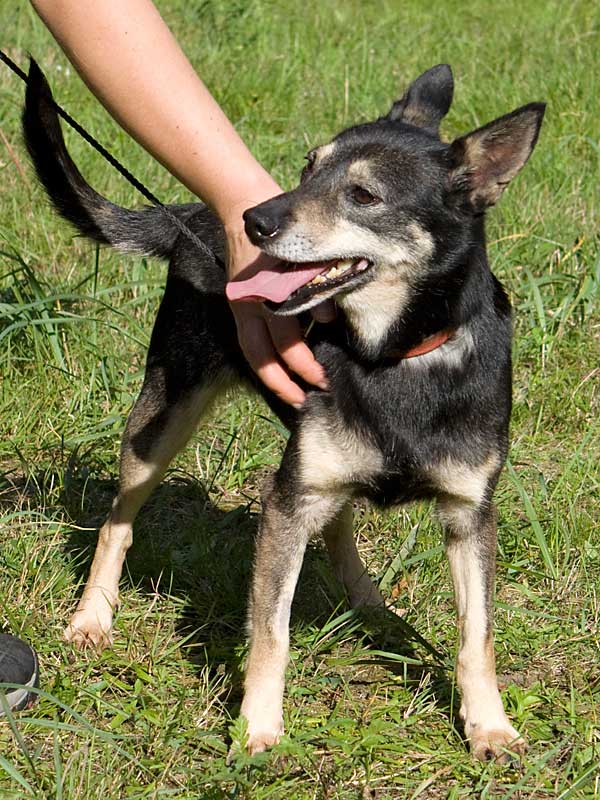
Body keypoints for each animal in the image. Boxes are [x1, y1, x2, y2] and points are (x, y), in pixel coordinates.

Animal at [23, 59, 544, 761]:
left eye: (364, 195)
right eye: (308, 166)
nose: (253, 219)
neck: (391, 355)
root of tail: (193, 212)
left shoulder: (469, 512)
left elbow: (477, 636)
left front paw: (489, 725)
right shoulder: (286, 505)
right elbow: (272, 631)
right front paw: (257, 727)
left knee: (338, 518)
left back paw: (368, 600)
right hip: (162, 421)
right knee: (118, 521)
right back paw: (92, 616)